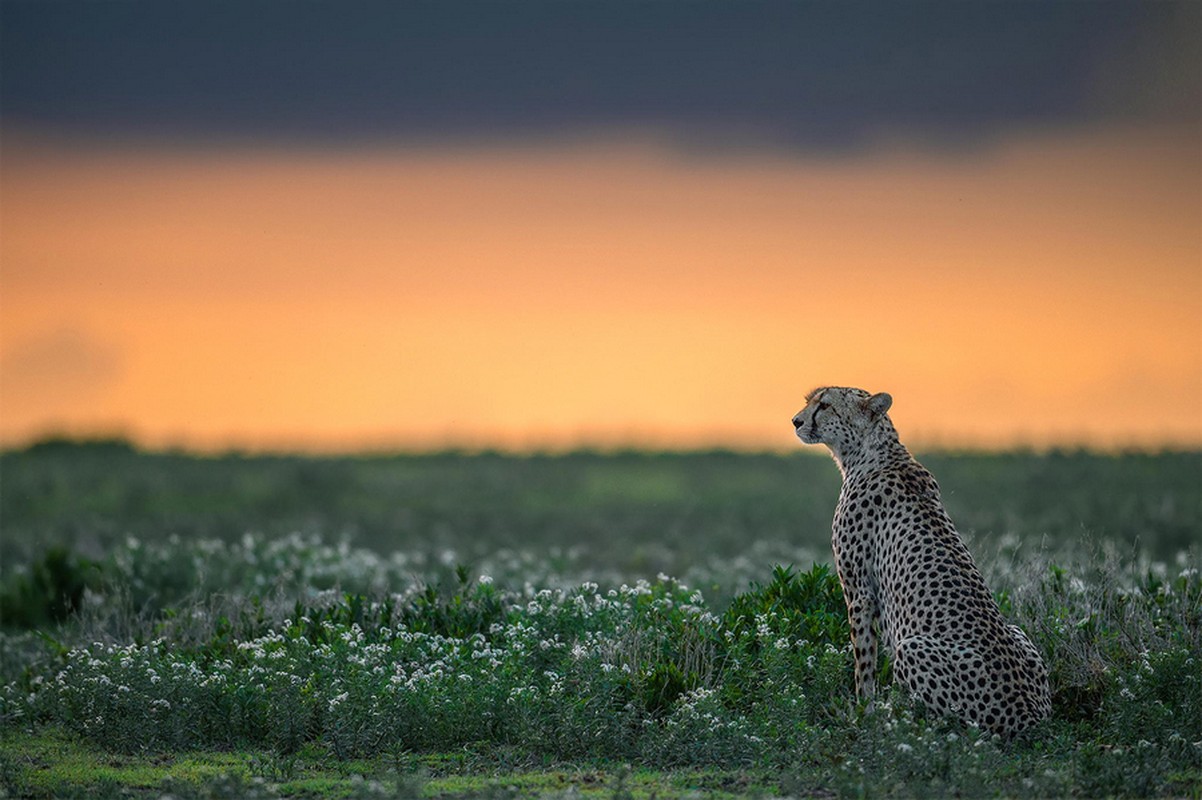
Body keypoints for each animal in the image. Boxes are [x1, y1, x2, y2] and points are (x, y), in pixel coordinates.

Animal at [793, 386, 1048, 735]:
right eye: (810, 400)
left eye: (825, 405)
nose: (796, 421)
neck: (874, 452)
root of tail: (1031, 715)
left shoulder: (858, 591)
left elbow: (864, 660)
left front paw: (863, 714)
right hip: (1018, 632)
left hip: (912, 648)